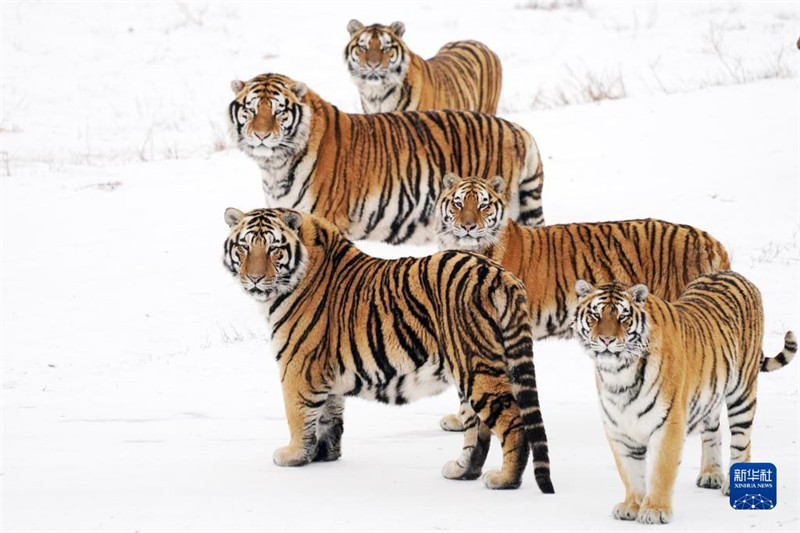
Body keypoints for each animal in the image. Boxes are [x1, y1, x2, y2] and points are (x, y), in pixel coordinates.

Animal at [221, 206, 555, 493]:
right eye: (244, 248)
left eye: (274, 249)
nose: (254, 278)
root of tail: (499, 273)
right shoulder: (326, 371)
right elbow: (328, 415)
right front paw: (323, 455)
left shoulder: (298, 366)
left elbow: (298, 414)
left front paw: (292, 455)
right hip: (472, 369)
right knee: (477, 428)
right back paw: (462, 471)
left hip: (477, 366)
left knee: (512, 421)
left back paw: (505, 479)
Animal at [572, 276, 796, 524]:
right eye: (595, 315)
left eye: (623, 317)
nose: (606, 340)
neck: (619, 373)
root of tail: (738, 276)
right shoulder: (618, 428)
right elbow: (630, 471)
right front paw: (632, 505)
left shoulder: (669, 422)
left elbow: (661, 469)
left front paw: (654, 510)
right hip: (710, 394)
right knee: (713, 431)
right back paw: (710, 474)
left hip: (743, 392)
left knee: (742, 440)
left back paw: (733, 484)